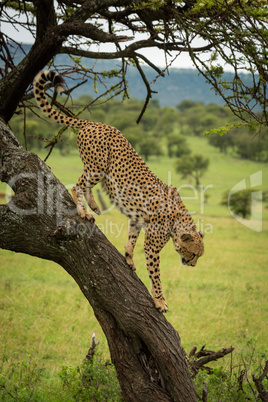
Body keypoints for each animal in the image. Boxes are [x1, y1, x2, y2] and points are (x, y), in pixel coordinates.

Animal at [34, 70, 205, 312]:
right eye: (193, 253)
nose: (192, 265)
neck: (177, 220)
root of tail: (94, 122)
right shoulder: (152, 248)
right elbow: (156, 275)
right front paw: (160, 301)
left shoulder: (137, 220)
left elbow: (131, 240)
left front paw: (129, 259)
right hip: (97, 167)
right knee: (77, 184)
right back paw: (83, 210)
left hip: (100, 170)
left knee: (85, 184)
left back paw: (93, 205)